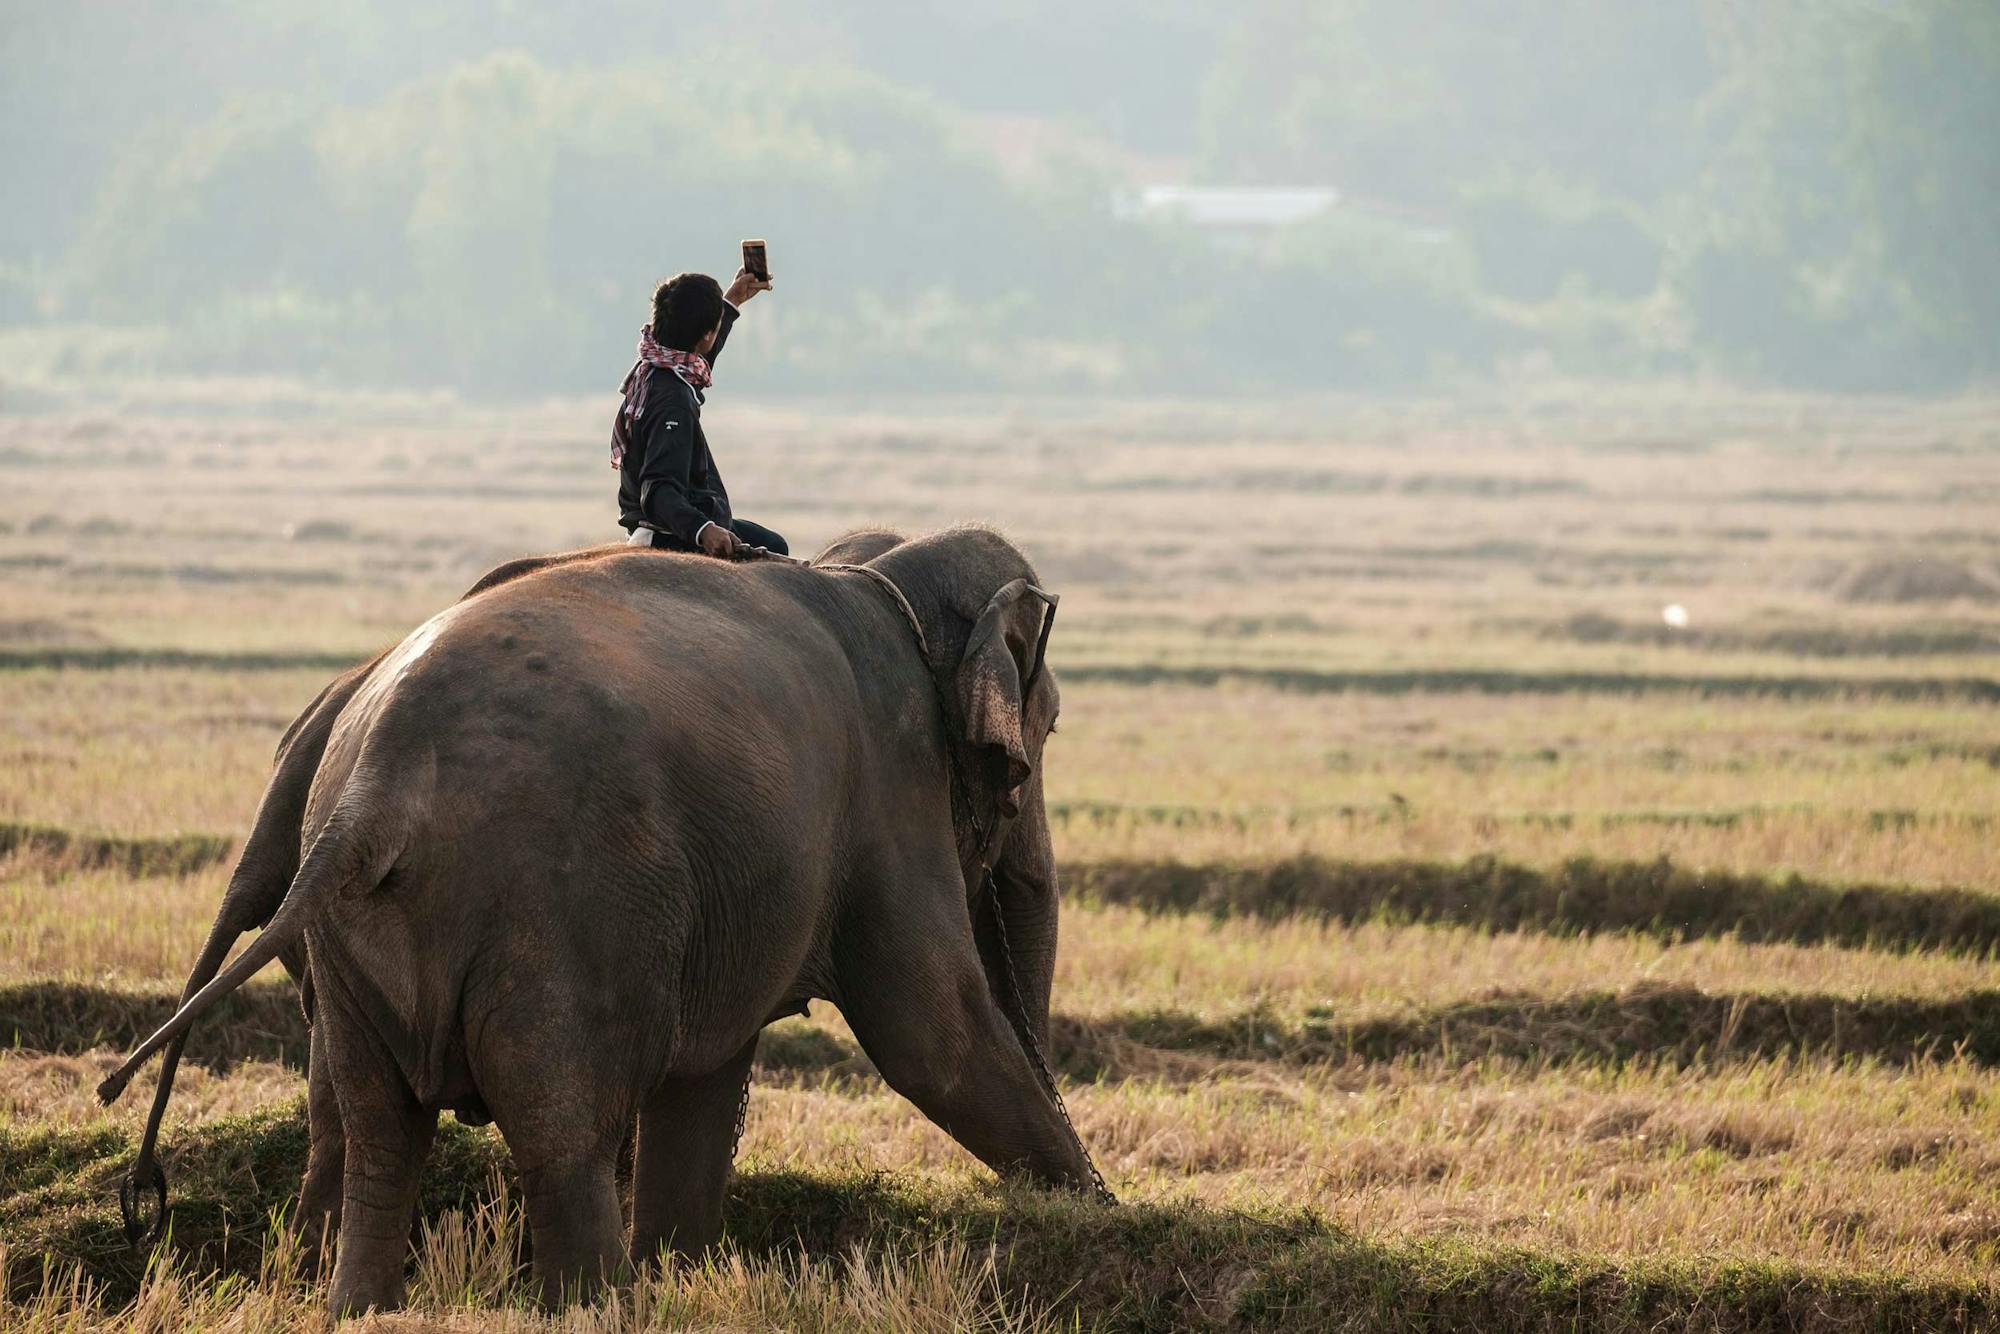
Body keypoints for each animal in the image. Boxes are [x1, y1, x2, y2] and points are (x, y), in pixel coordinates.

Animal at [101, 524, 1104, 1312]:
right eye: (1046, 734)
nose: (1093, 1201)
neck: (875, 566)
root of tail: (373, 791)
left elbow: (709, 1070)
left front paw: (687, 1277)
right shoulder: (893, 790)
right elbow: (932, 1032)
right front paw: (1102, 1211)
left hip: (355, 939)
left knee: (376, 1122)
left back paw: (354, 1304)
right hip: (563, 913)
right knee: (561, 1130)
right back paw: (594, 1305)